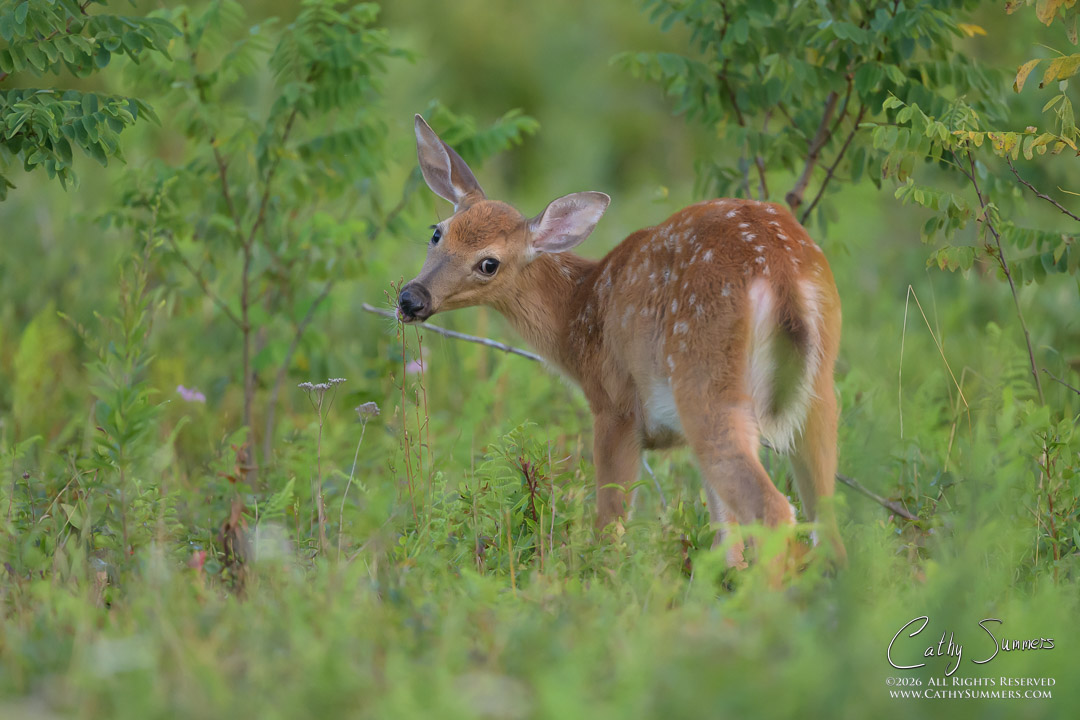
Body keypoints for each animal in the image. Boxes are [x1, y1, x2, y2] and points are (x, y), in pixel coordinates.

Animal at [398, 115, 845, 568]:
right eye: (438, 232)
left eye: (489, 263)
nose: (411, 298)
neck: (580, 313)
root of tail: (783, 273)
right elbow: (725, 535)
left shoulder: (615, 406)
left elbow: (610, 521)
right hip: (817, 395)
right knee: (826, 521)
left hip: (707, 381)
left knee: (774, 509)